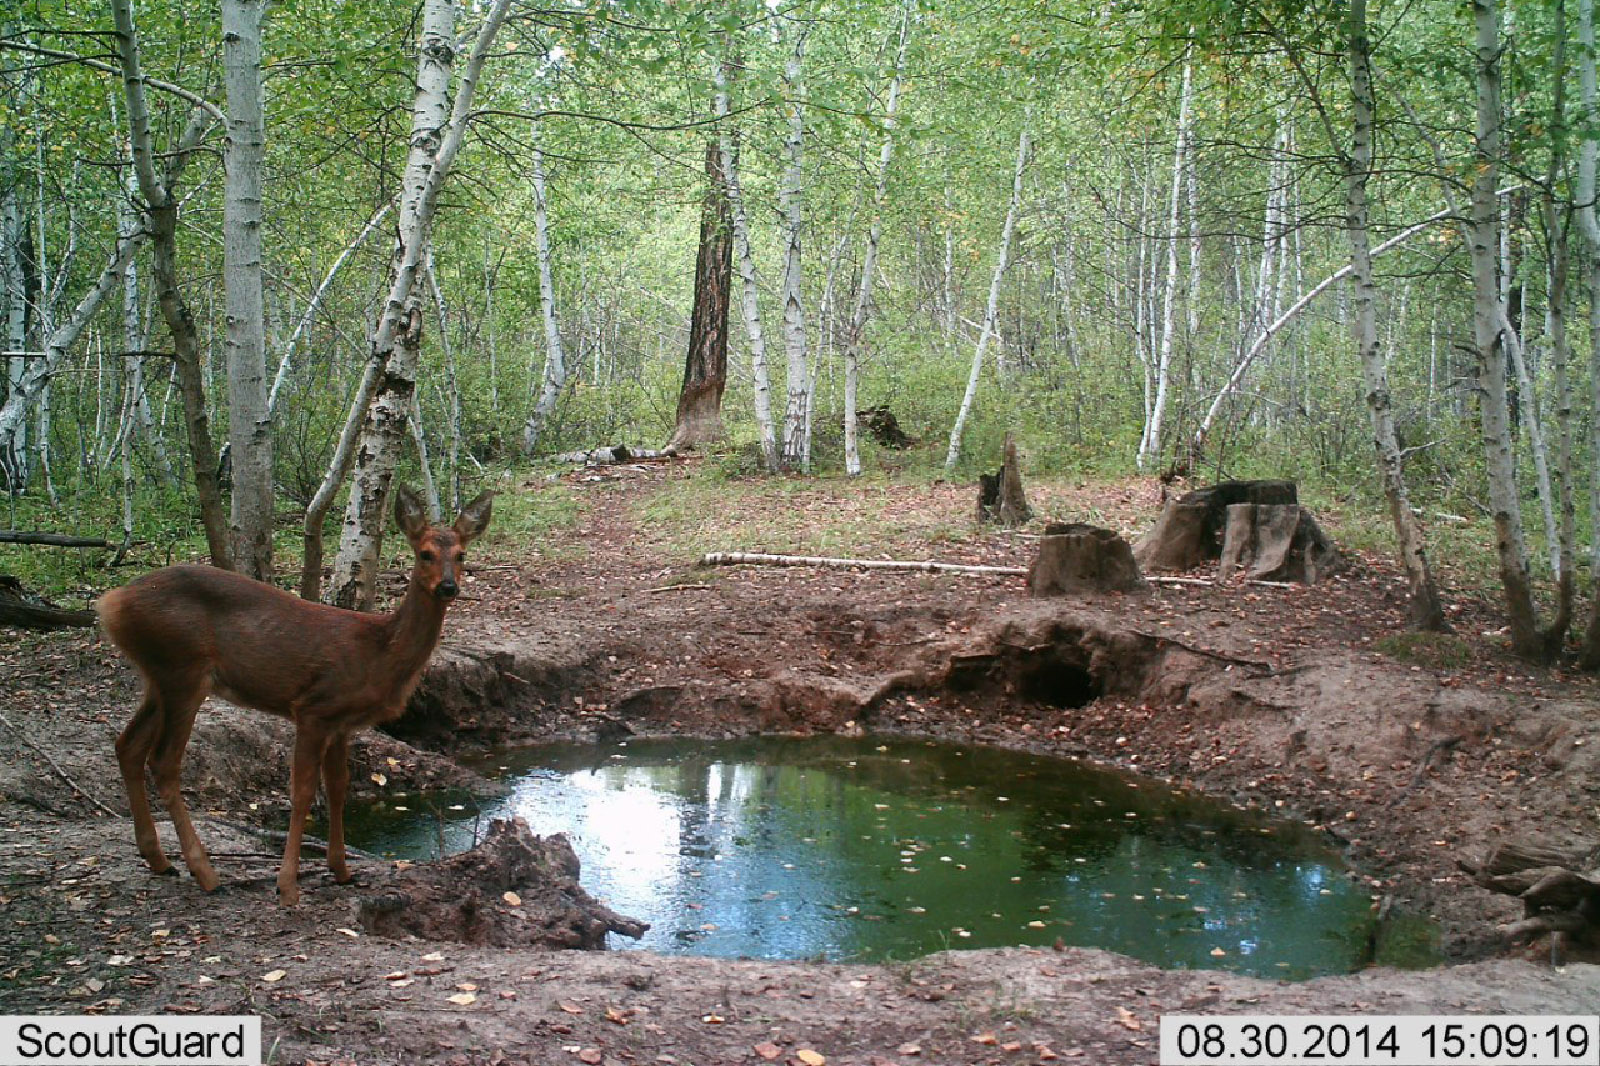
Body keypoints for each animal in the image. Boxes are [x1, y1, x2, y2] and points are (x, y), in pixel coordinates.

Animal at [100, 486, 492, 902]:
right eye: (425, 553)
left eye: (461, 554)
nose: (448, 586)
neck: (378, 652)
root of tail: (110, 603)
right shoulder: (314, 708)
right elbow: (302, 790)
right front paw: (287, 884)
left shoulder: (342, 722)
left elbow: (337, 787)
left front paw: (341, 870)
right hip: (182, 671)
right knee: (163, 762)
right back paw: (206, 874)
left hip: (159, 677)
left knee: (128, 745)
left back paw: (159, 860)